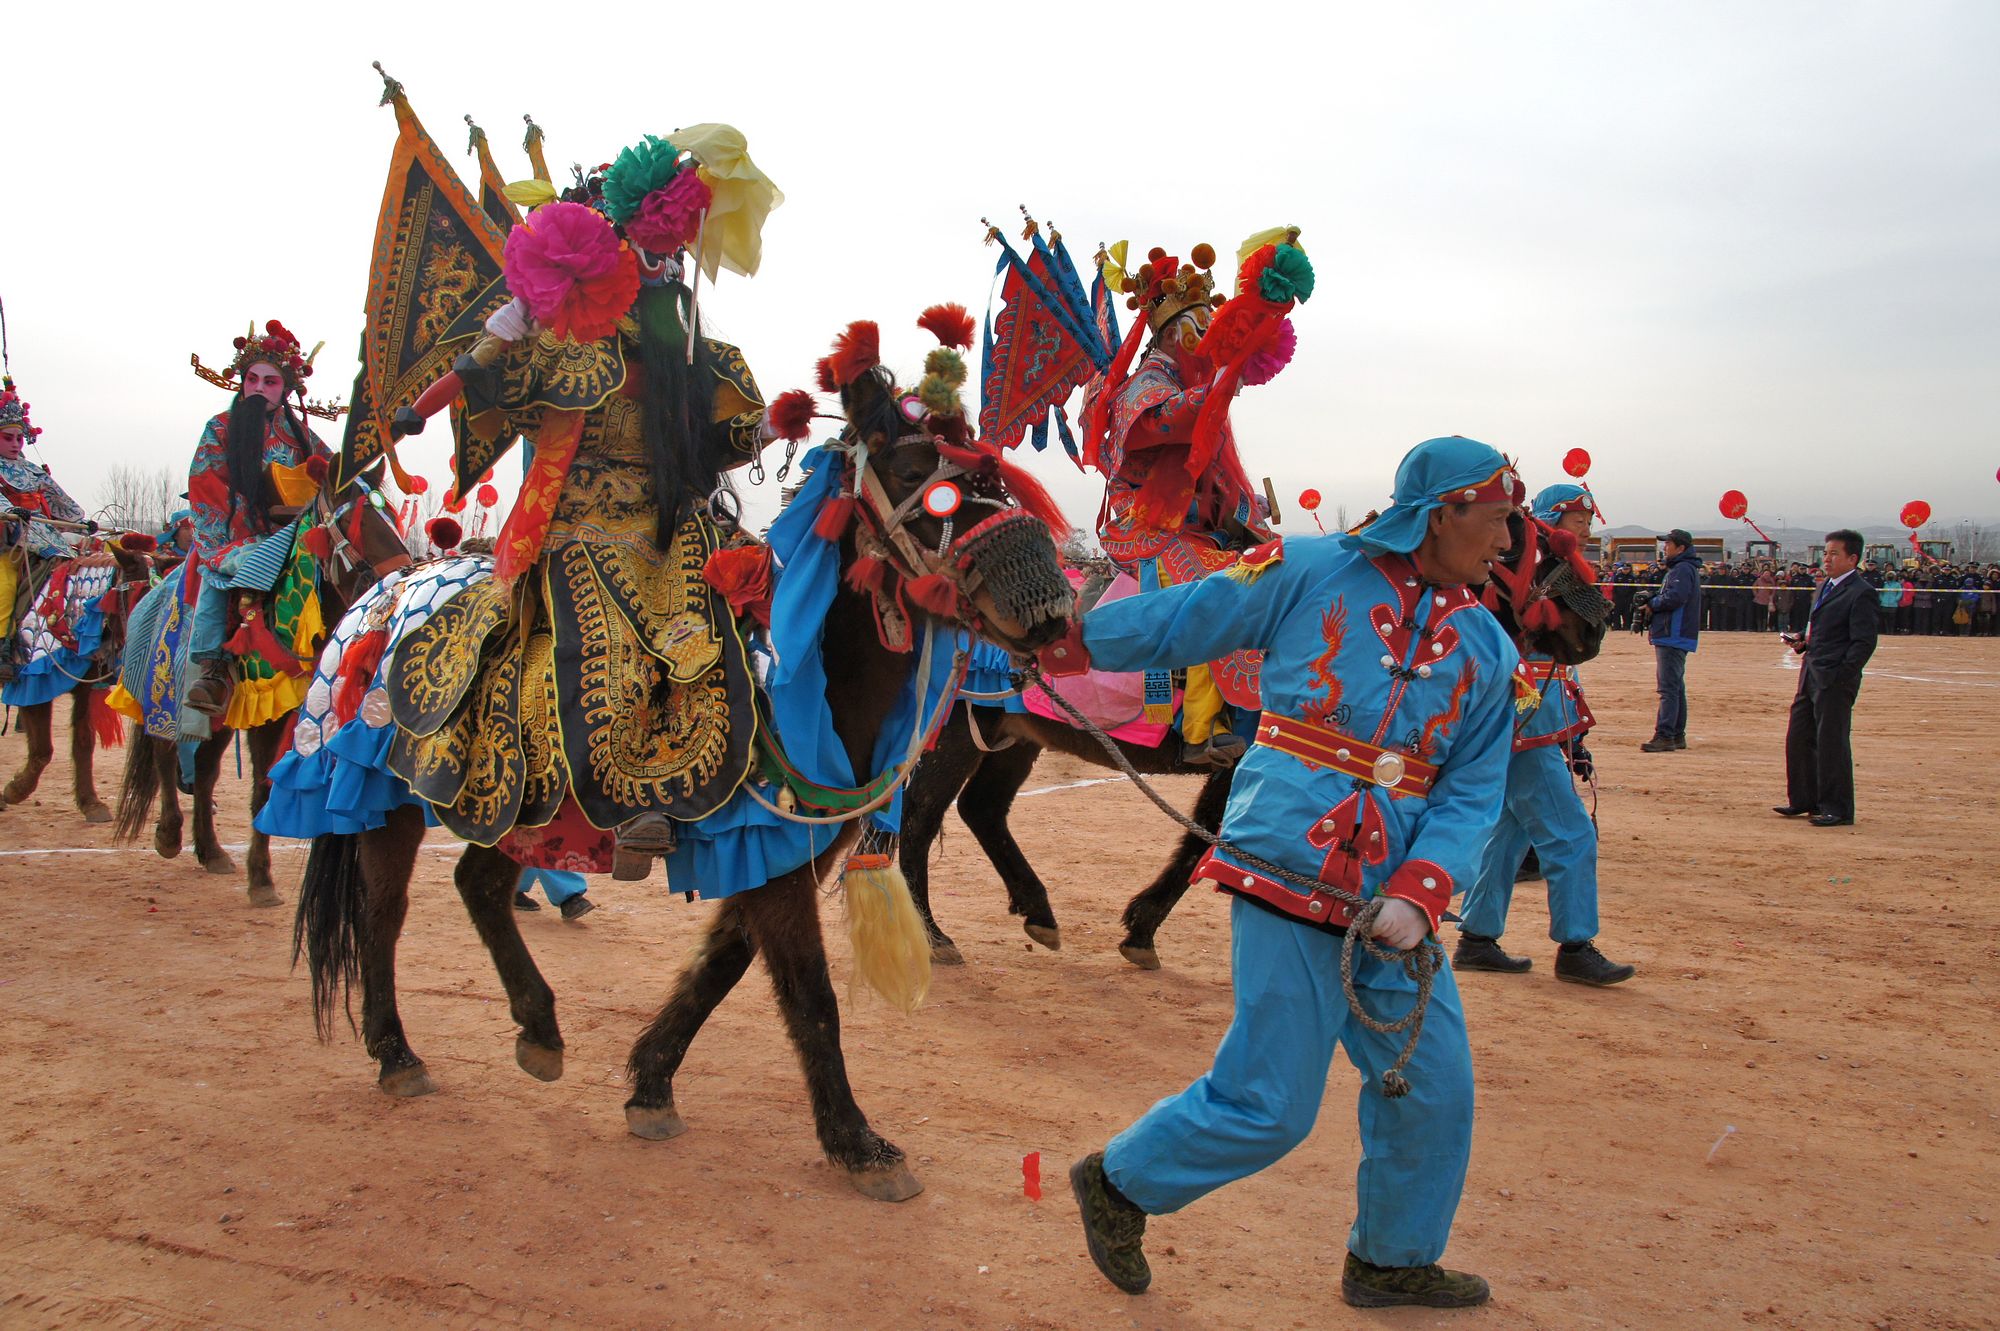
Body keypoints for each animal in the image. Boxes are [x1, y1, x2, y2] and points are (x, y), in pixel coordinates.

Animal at [4, 535, 158, 819]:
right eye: (142, 599)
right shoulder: (33, 681)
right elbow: (42, 750)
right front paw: (15, 790)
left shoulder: (85, 687)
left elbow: (84, 742)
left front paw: (90, 802)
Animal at [113, 471, 410, 907]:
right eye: (354, 523)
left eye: (391, 517)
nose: (403, 579)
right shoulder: (266, 715)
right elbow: (261, 793)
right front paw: (261, 880)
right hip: (163, 695)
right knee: (164, 756)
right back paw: (169, 834)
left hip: (217, 719)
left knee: (204, 772)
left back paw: (212, 852)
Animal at [292, 347, 1080, 1199]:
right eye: (913, 474)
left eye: (994, 478)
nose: (1051, 605)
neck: (802, 678)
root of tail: (382, 585)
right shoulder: (772, 857)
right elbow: (811, 992)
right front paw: (859, 1142)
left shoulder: (778, 850)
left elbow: (723, 964)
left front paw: (651, 1083)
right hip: (387, 796)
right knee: (382, 912)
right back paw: (396, 1051)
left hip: (519, 812)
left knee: (478, 884)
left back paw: (539, 1027)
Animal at [900, 505, 1616, 963]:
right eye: (1530, 549)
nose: (1596, 627)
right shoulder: (1237, 757)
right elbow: (1200, 847)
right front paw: (1141, 930)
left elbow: (1202, 845)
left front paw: (1140, 928)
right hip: (953, 736)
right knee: (918, 821)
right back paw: (931, 935)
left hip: (1013, 734)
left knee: (982, 810)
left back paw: (1037, 911)